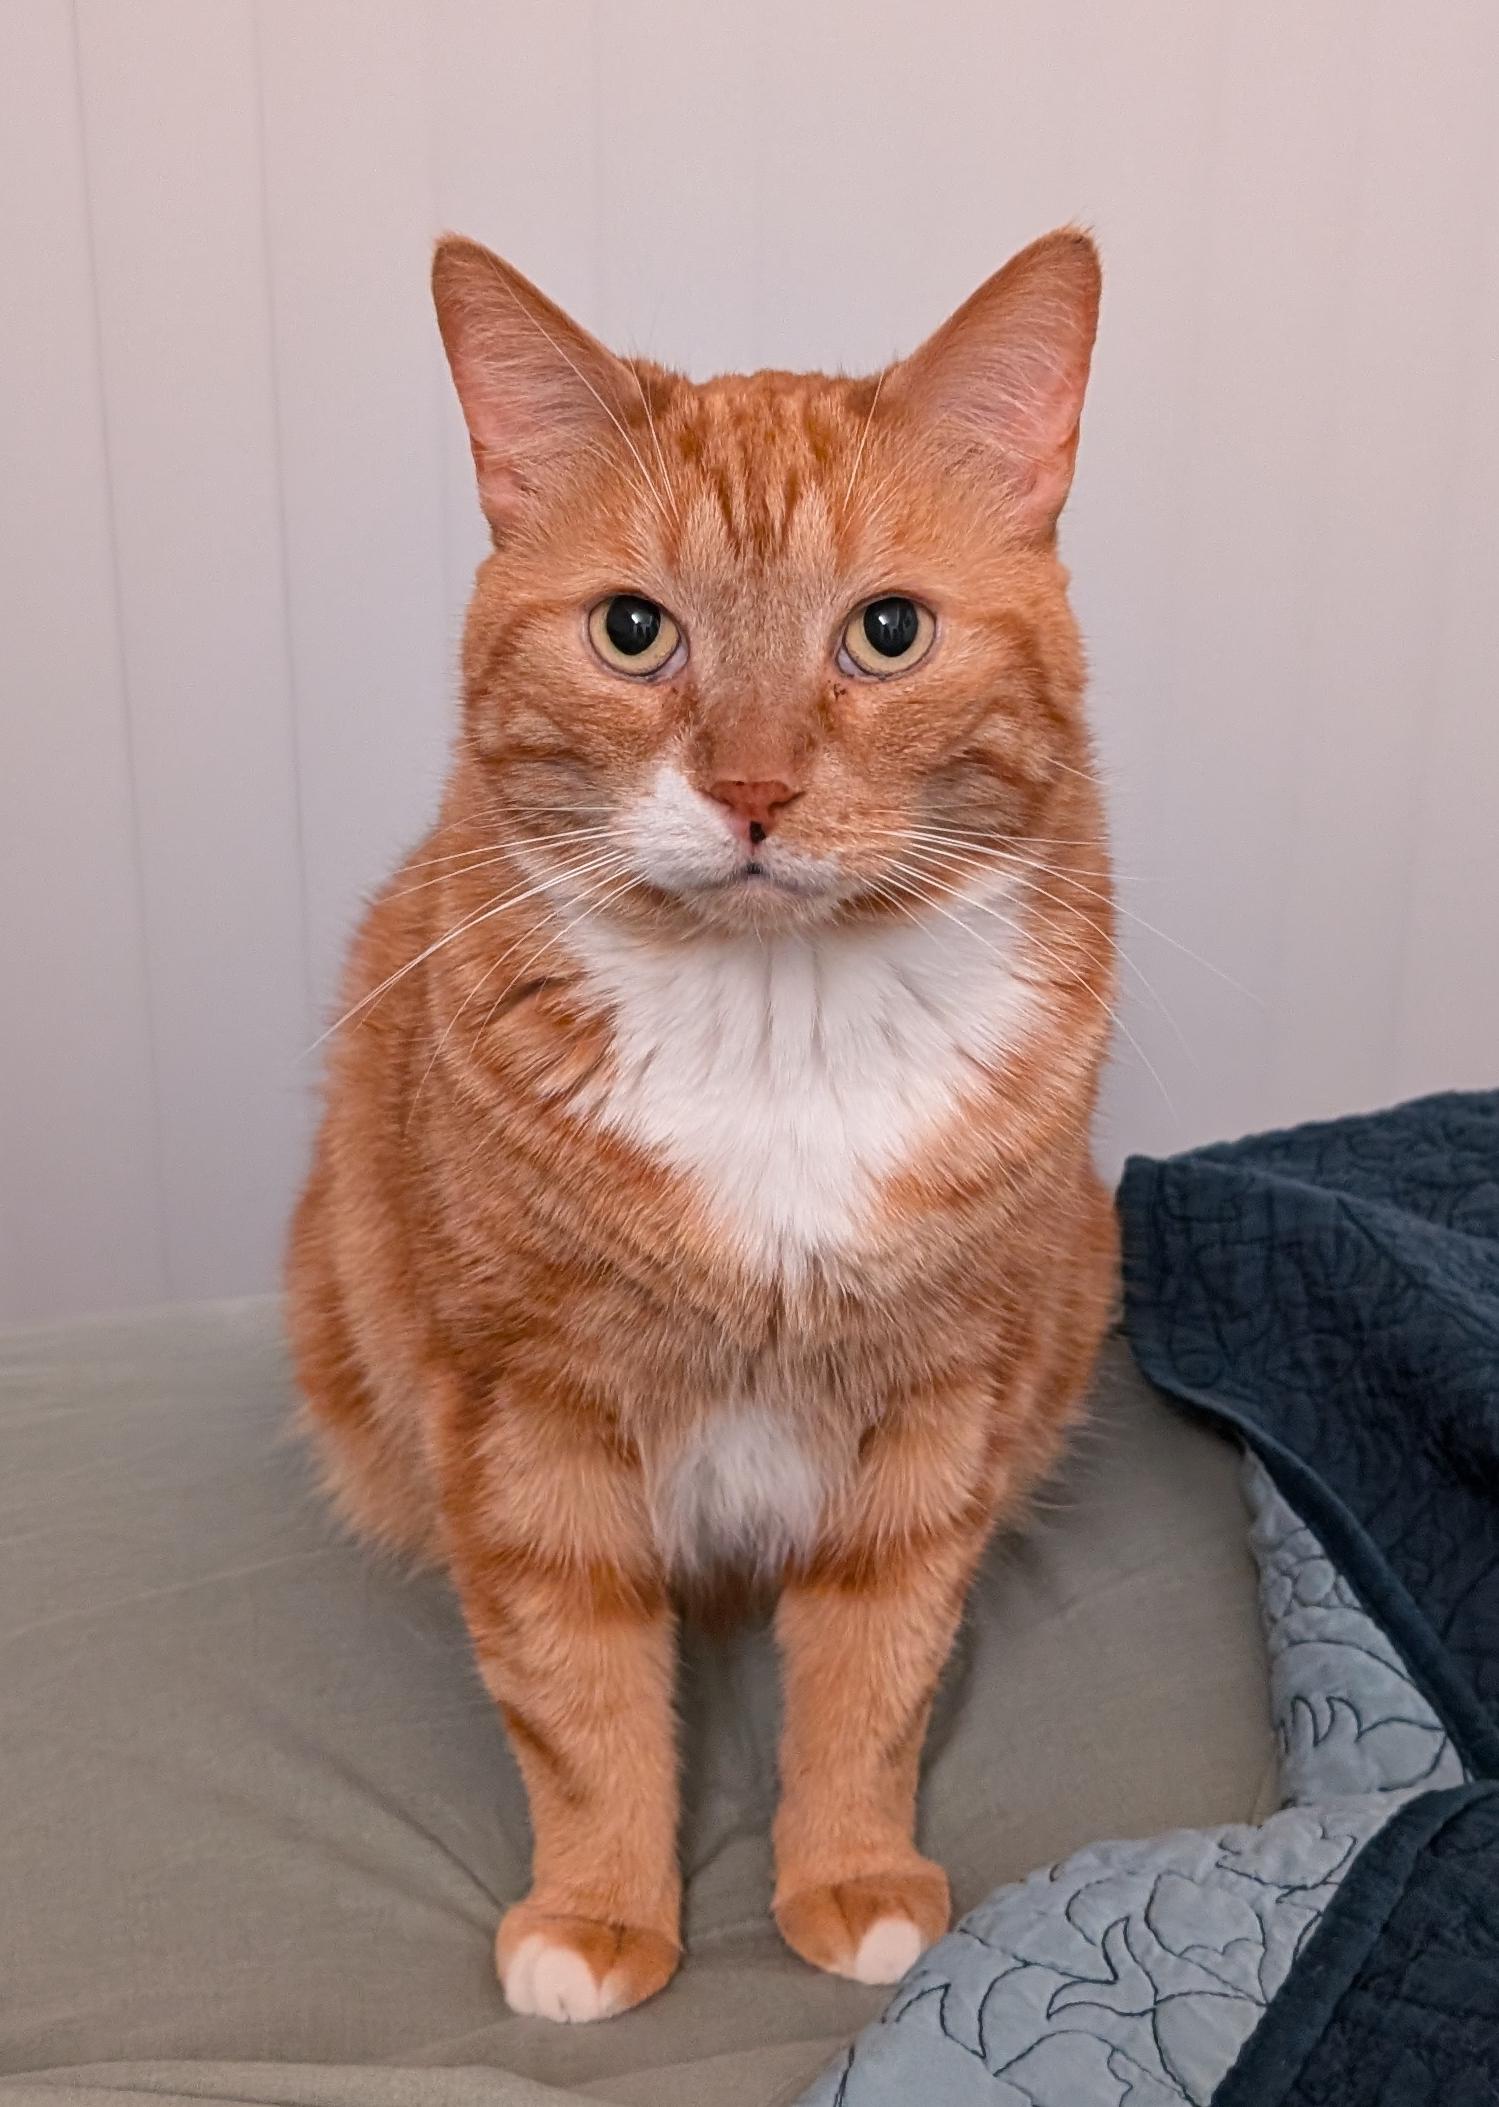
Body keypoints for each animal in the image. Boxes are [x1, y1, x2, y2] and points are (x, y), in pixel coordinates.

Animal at [286, 230, 1121, 2022]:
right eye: (629, 630)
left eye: (886, 631)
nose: (749, 788)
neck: (774, 1027)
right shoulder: (522, 1409)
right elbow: (577, 1685)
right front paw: (598, 1913)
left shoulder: (934, 1403)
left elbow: (872, 1669)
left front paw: (851, 1876)